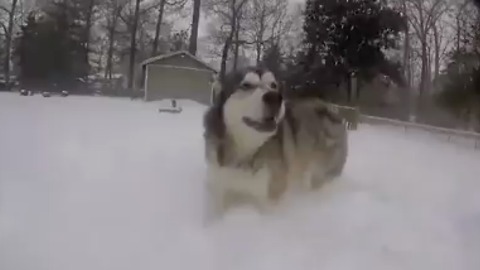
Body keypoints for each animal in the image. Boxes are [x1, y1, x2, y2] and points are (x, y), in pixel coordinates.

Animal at [203, 66, 348, 220]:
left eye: (273, 85)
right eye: (246, 85)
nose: (274, 97)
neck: (247, 150)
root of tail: (329, 110)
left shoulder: (270, 195)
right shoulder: (221, 187)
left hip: (322, 172)